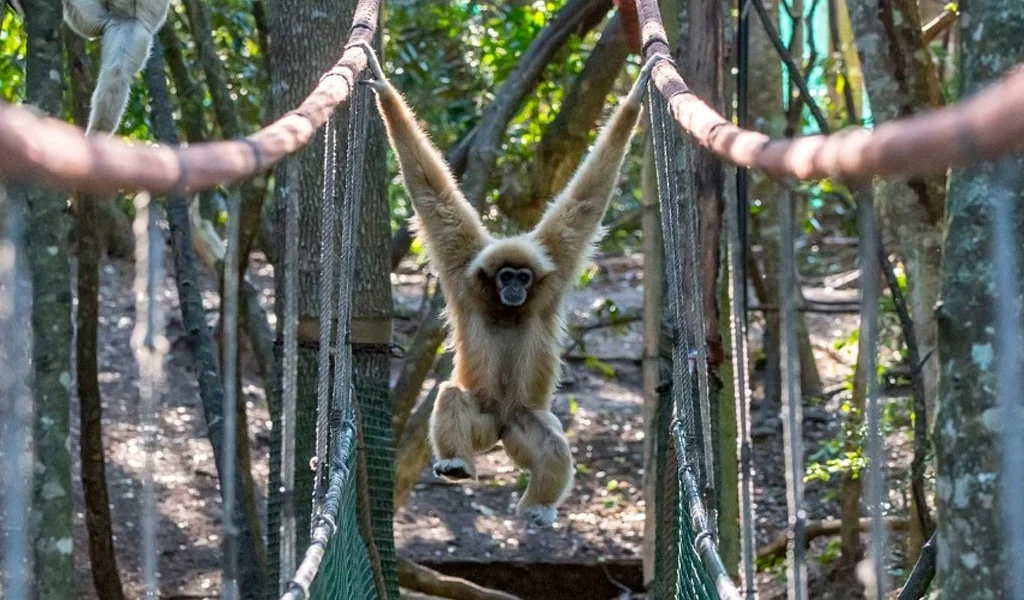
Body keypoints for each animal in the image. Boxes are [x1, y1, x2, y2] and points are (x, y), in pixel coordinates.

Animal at [356, 41, 664, 527]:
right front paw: (384, 88)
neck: (504, 306)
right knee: (452, 395)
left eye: (523, 276)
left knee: (549, 438)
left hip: (521, 422)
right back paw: (458, 463)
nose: (515, 287)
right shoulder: (461, 265)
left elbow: (586, 201)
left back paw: (538, 504)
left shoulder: (555, 264)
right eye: (505, 276)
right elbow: (432, 193)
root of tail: (500, 428)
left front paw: (635, 96)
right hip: (484, 423)